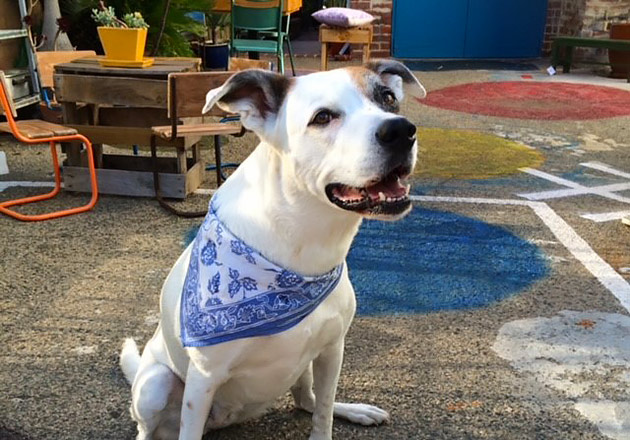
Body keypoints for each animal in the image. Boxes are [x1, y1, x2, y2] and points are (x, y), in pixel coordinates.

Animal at [119, 59, 424, 440]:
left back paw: (355, 409)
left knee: (307, 400)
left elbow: (322, 414)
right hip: (156, 384)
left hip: (303, 367)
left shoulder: (331, 350)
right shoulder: (203, 379)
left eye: (388, 98)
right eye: (322, 117)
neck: (304, 249)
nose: (401, 131)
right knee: (145, 426)